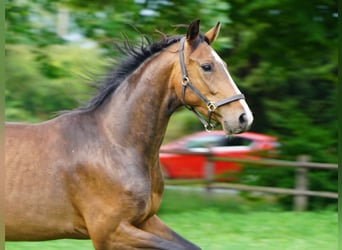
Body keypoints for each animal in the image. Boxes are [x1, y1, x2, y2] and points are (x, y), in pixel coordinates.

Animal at [4, 19, 252, 250]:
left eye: (224, 64)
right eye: (207, 66)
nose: (243, 117)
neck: (116, 143)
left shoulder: (145, 220)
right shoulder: (110, 233)